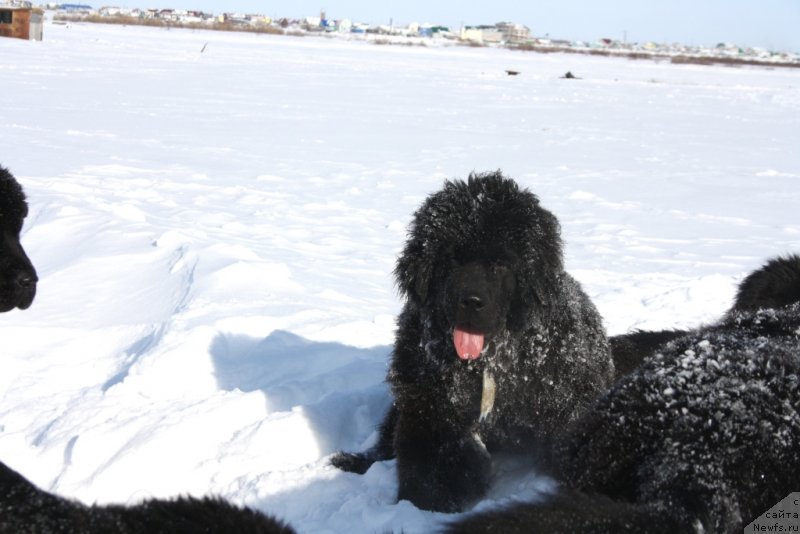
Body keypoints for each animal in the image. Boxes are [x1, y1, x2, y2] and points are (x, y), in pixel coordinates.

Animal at [332, 173, 612, 516]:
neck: (489, 362)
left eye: (501, 264)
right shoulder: (429, 411)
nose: (471, 301)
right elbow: (428, 474)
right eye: (452, 258)